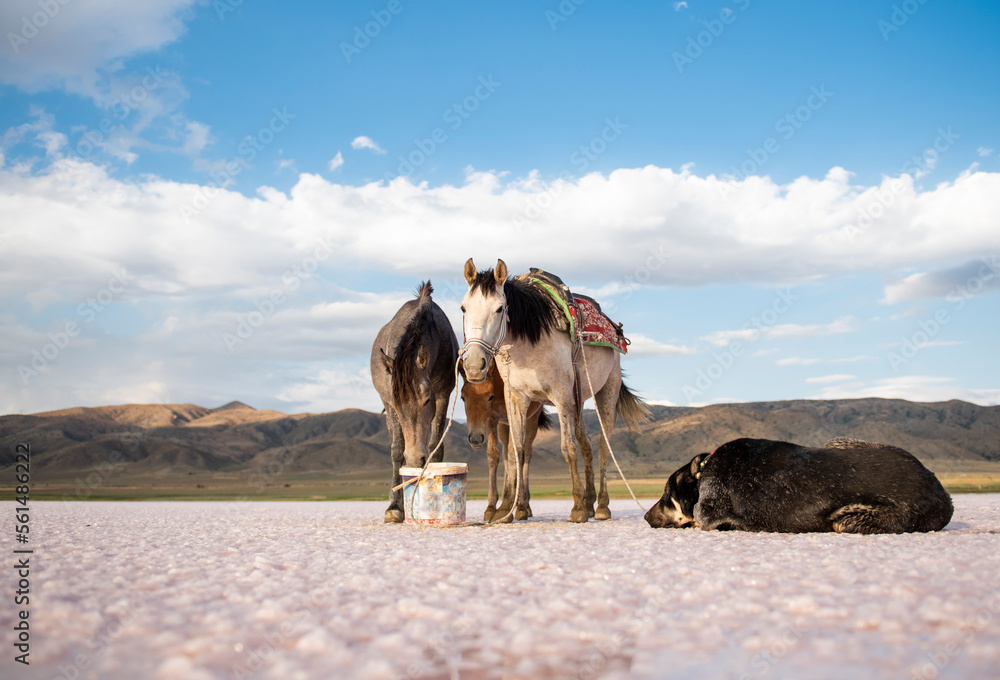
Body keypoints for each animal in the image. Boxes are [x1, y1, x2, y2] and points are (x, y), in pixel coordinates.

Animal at [370, 278, 458, 524]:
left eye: (427, 401)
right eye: (398, 406)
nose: (416, 459)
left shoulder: (443, 394)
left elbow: (436, 444)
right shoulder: (389, 402)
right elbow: (397, 449)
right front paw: (394, 507)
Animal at [460, 258, 648, 524]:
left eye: (499, 309)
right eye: (463, 308)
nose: (475, 365)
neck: (528, 344)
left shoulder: (560, 396)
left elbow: (567, 449)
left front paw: (577, 508)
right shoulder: (516, 398)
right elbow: (516, 452)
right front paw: (505, 510)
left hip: (606, 392)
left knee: (603, 446)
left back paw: (601, 506)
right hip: (577, 400)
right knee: (586, 443)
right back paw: (590, 503)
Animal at [648, 438, 952, 532]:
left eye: (665, 494)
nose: (644, 516)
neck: (704, 470)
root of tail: (943, 495)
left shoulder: (708, 511)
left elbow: (699, 519)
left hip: (846, 520)